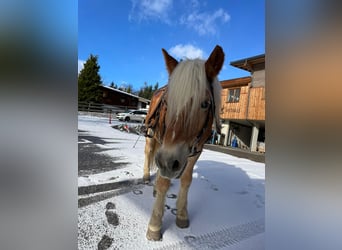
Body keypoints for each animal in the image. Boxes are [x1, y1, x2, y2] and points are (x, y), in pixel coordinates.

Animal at [142, 45, 224, 240]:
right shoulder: (165, 150)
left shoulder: (196, 150)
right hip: (151, 137)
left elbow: (186, 179)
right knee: (149, 153)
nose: (168, 162)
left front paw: (181, 214)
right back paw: (147, 176)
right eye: (166, 102)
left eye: (205, 104)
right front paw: (155, 225)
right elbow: (163, 181)